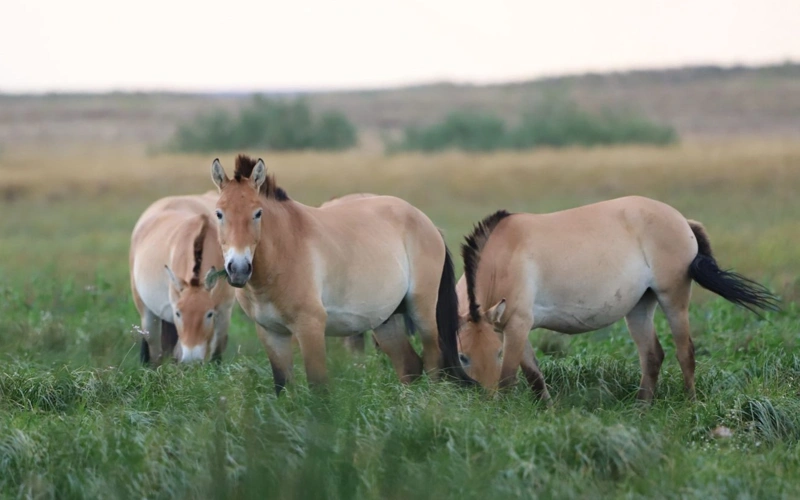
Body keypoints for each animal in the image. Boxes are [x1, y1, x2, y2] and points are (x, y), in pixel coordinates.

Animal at [130, 191, 236, 365]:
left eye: (209, 314)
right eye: (178, 313)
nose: (191, 359)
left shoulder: (224, 311)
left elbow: (216, 354)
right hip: (147, 315)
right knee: (155, 353)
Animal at [209, 155, 470, 394]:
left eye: (258, 213)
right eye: (219, 214)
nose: (239, 269)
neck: (284, 252)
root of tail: (426, 222)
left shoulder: (310, 327)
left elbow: (318, 387)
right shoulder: (271, 334)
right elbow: (283, 386)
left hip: (423, 312)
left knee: (434, 362)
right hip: (386, 320)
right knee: (410, 366)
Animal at [455, 196, 780, 402]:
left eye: (496, 353)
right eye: (463, 356)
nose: (486, 400)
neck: (502, 257)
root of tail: (683, 220)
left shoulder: (517, 325)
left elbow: (509, 379)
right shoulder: (512, 327)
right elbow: (534, 375)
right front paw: (548, 410)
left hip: (673, 298)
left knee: (685, 352)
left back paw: (691, 404)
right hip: (640, 306)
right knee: (652, 355)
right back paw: (641, 409)